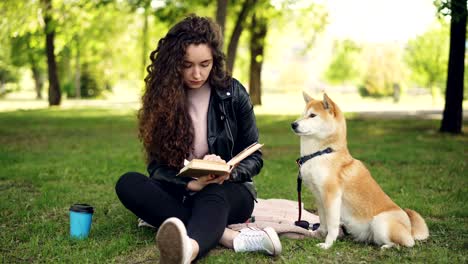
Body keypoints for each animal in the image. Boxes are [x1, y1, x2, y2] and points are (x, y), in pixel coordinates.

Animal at [290, 93, 430, 250]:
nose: (293, 124)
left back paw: (387, 247)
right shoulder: (318, 196)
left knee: (406, 243)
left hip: (380, 222)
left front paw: (328, 244)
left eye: (312, 115)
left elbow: (332, 224)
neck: (321, 153)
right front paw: (318, 233)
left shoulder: (332, 196)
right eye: (302, 114)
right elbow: (323, 220)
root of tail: (410, 229)